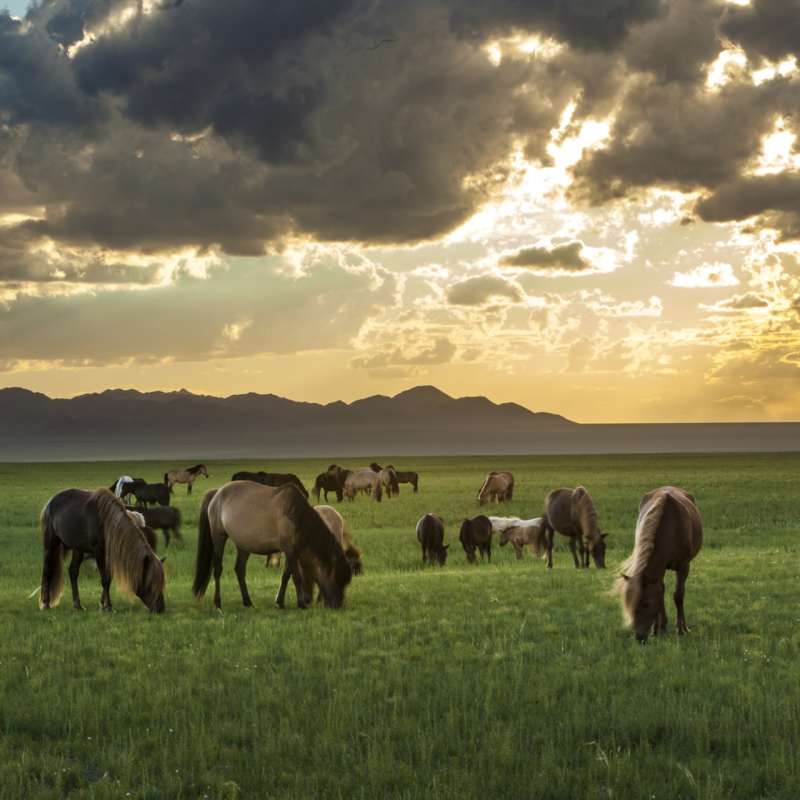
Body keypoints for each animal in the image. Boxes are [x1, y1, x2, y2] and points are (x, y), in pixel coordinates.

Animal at [193, 480, 352, 611]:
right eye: (336, 578)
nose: (338, 605)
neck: (295, 514)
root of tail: (217, 493)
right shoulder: (289, 550)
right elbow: (296, 576)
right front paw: (301, 603)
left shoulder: (292, 551)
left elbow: (286, 575)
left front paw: (280, 602)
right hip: (219, 537)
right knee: (218, 569)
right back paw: (217, 603)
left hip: (244, 546)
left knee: (240, 570)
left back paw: (248, 602)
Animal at [613, 487, 703, 643]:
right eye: (630, 604)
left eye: (646, 603)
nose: (639, 638)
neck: (671, 527)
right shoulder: (659, 570)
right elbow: (660, 594)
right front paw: (656, 630)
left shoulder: (683, 566)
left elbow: (678, 596)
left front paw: (682, 629)